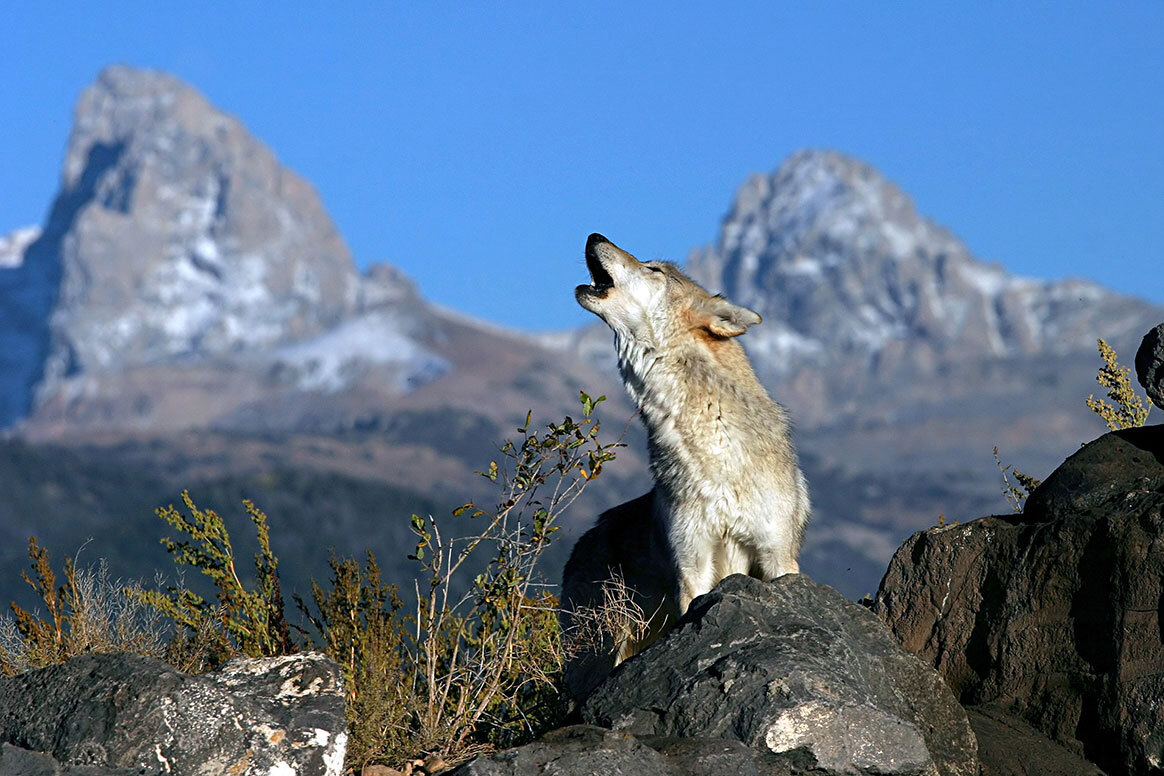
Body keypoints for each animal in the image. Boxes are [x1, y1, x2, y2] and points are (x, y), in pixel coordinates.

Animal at [558, 232, 805, 698]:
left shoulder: (777, 556)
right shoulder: (693, 565)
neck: (715, 451)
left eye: (654, 269)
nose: (594, 236)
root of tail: (584, 541)